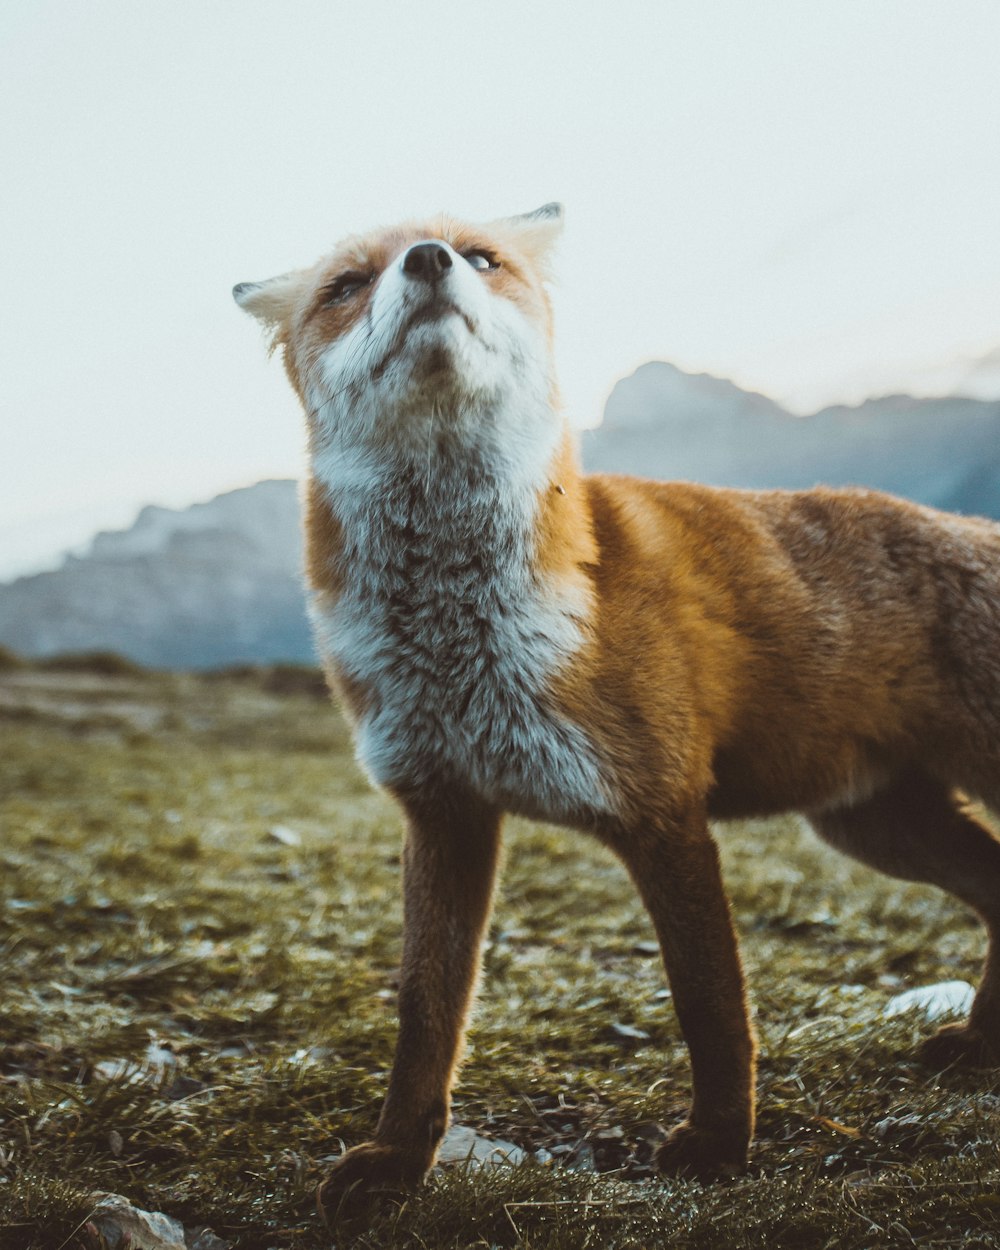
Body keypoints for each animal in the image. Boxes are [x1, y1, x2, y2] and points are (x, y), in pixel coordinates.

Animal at [236, 205, 1000, 1220]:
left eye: (483, 257)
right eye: (348, 284)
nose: (430, 262)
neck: (464, 651)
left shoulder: (661, 812)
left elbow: (710, 1004)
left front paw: (720, 1147)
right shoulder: (443, 809)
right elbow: (426, 1012)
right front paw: (398, 1160)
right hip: (875, 825)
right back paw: (982, 1045)